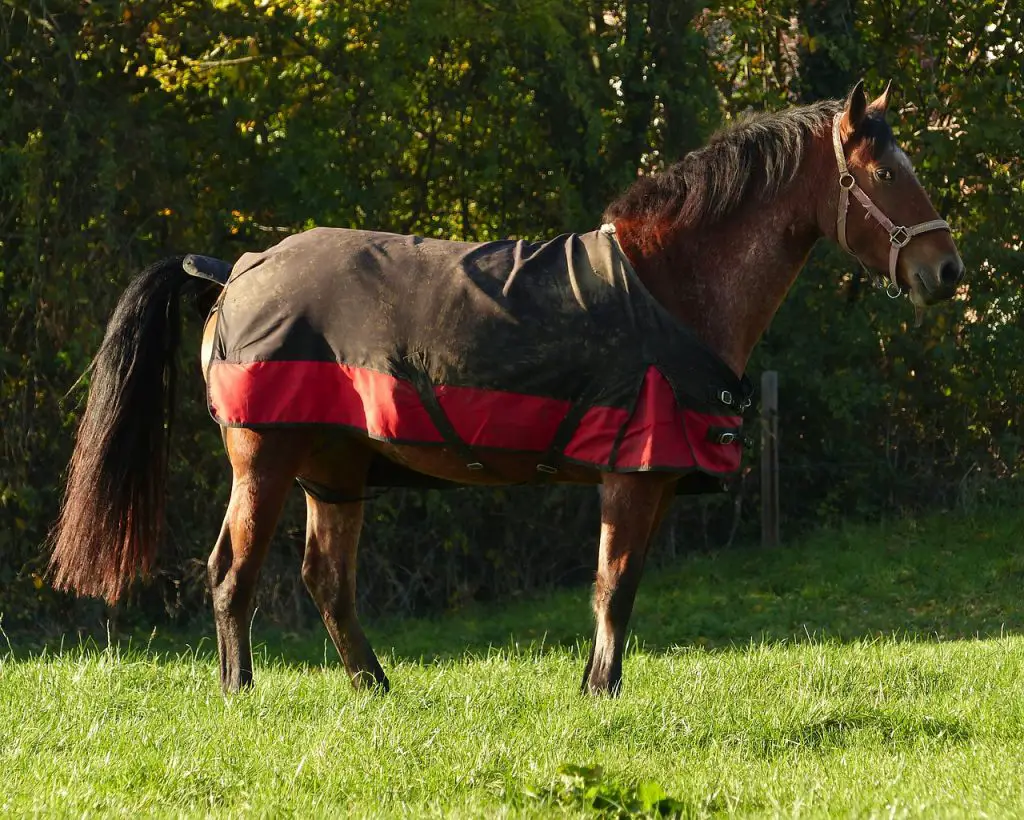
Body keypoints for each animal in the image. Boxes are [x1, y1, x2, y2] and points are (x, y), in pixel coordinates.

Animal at [46, 82, 958, 696]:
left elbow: (619, 587)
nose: (945, 271)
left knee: (326, 580)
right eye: (884, 175)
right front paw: (600, 697)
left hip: (334, 472)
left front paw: (596, 690)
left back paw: (375, 689)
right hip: (264, 461)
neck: (670, 287)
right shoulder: (631, 475)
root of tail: (233, 267)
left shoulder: (646, 481)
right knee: (233, 572)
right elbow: (614, 587)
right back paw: (243, 694)